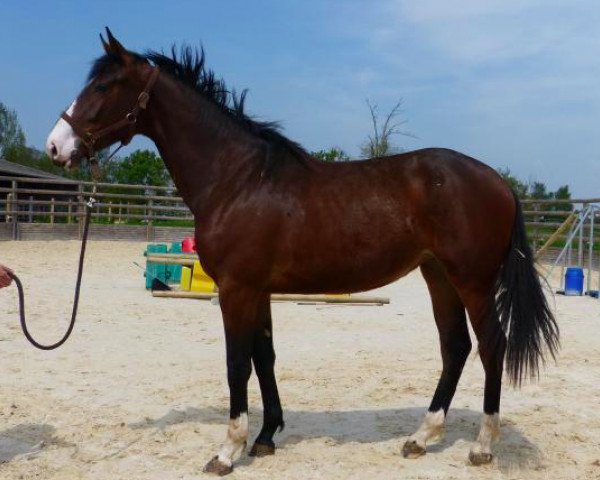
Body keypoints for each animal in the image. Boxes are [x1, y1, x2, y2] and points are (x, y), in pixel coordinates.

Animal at [45, 28, 556, 474]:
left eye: (104, 86)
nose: (55, 145)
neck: (238, 179)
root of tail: (498, 181)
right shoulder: (259, 290)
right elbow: (264, 357)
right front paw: (266, 436)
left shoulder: (236, 290)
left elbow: (237, 364)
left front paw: (227, 451)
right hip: (438, 276)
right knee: (455, 347)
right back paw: (420, 437)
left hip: (472, 280)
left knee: (492, 346)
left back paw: (482, 446)